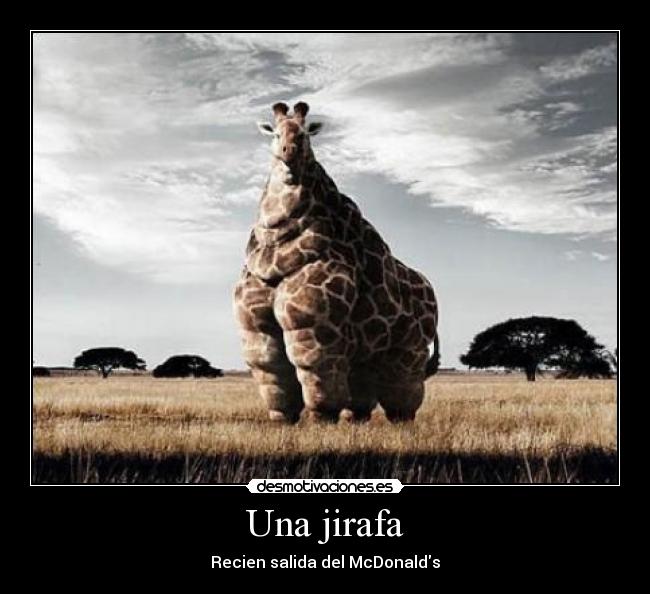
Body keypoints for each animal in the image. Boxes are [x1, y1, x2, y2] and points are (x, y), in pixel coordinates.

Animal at [233, 102, 440, 424]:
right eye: (275, 133)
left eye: (305, 134)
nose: (289, 152)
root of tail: (433, 295)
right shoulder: (256, 327)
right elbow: (272, 370)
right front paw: (282, 420)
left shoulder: (313, 325)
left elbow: (316, 372)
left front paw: (322, 420)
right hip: (370, 350)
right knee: (363, 392)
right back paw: (355, 419)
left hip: (410, 346)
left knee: (403, 394)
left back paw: (399, 422)